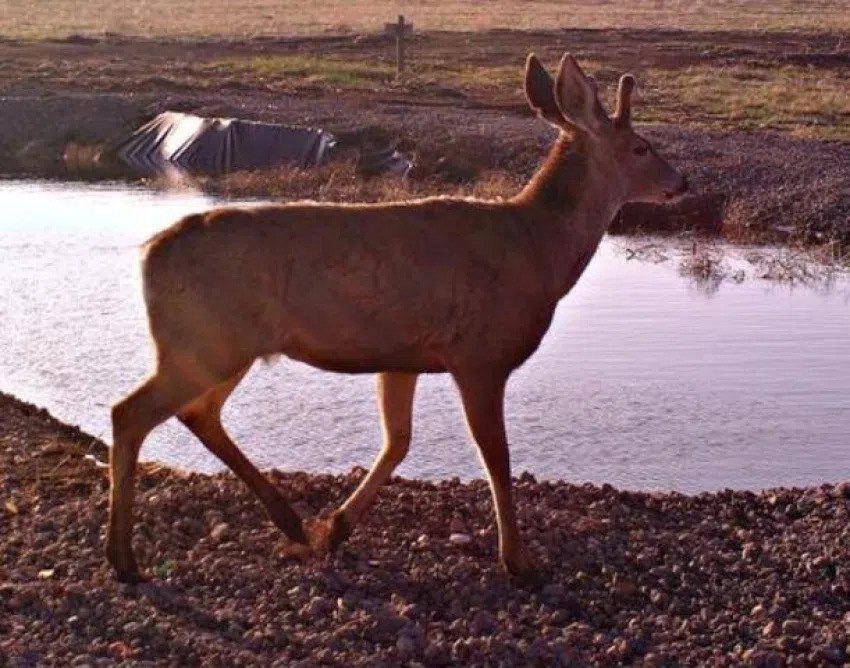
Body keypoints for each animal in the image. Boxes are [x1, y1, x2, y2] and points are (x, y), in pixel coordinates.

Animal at [107, 53, 688, 584]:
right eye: (642, 147)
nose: (681, 182)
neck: (538, 251)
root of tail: (149, 255)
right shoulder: (479, 354)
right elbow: (496, 457)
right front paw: (518, 561)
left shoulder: (402, 355)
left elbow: (399, 440)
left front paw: (337, 527)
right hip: (206, 342)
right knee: (130, 412)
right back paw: (124, 559)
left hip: (222, 345)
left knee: (198, 413)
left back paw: (289, 523)